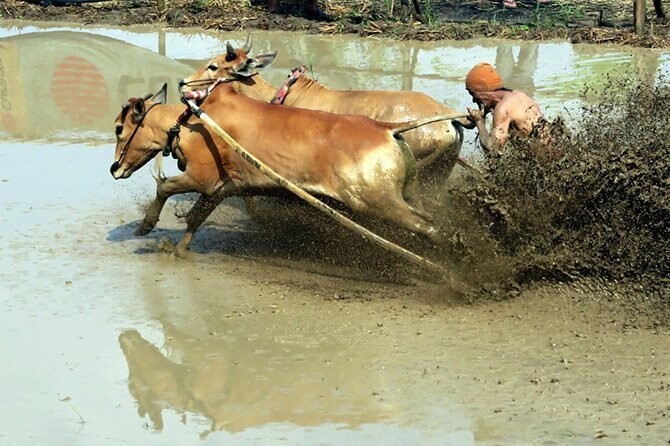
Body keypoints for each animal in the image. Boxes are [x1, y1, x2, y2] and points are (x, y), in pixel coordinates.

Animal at [110, 82, 460, 253]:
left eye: (118, 128)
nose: (114, 168)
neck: (188, 121)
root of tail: (387, 129)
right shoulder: (225, 187)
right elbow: (196, 218)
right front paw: (177, 249)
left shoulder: (202, 178)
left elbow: (164, 187)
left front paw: (146, 226)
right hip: (407, 194)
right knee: (430, 217)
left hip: (377, 202)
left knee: (430, 227)